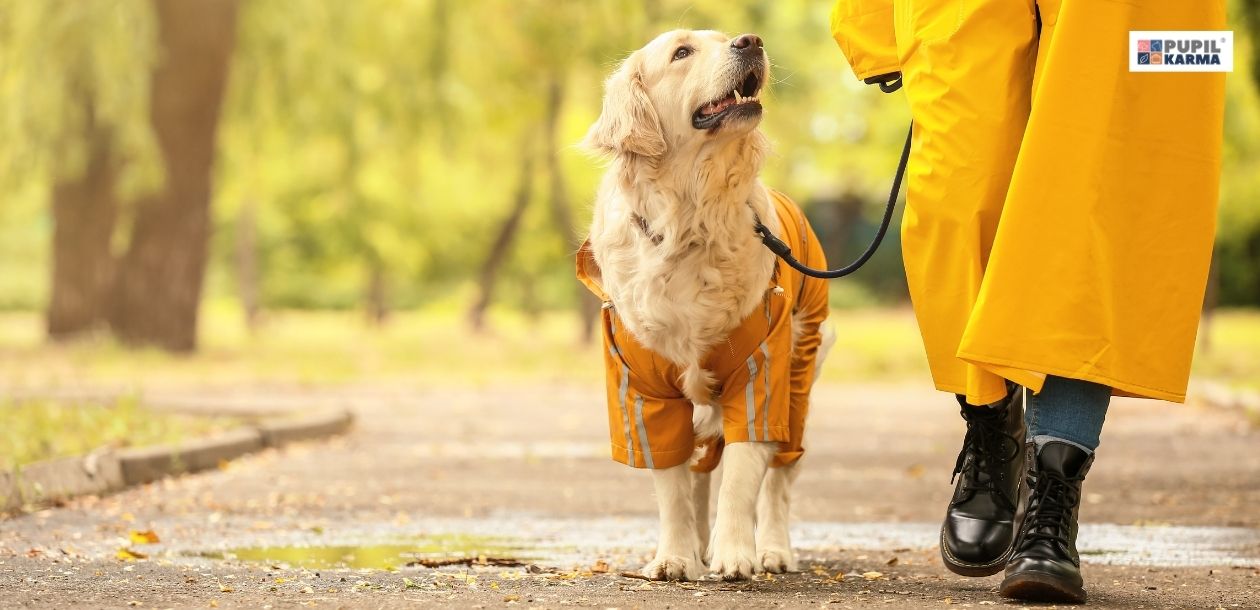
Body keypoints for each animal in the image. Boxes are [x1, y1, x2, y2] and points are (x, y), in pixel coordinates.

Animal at [579, 29, 836, 582]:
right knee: (698, 473)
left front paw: (736, 554)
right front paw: (676, 557)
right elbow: (673, 487)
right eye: (681, 52)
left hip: (800, 377)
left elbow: (741, 476)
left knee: (780, 478)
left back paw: (773, 549)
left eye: (723, 38)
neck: (690, 220)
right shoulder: (643, 388)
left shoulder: (761, 372)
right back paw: (697, 545)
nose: (750, 40)